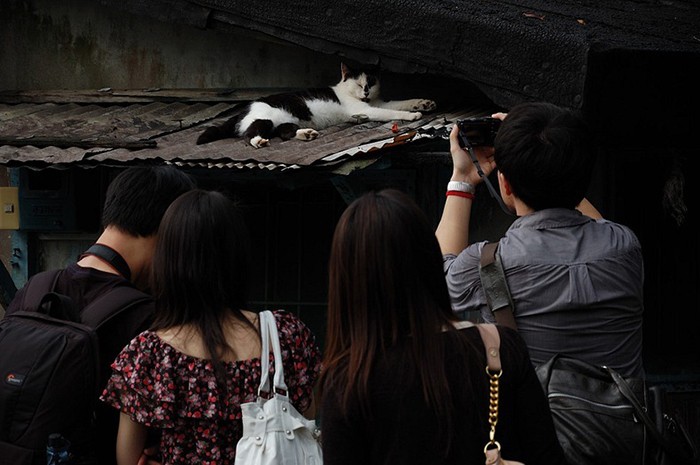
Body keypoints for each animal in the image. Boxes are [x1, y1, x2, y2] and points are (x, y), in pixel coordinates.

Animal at [197, 62, 434, 148]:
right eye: (359, 84)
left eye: (372, 82)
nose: (366, 91)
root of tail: (244, 109)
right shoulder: (366, 109)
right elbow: (389, 111)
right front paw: (413, 116)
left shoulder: (378, 102)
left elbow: (400, 103)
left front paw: (424, 103)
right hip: (265, 118)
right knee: (248, 135)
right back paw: (259, 142)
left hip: (284, 121)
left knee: (285, 133)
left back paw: (307, 134)